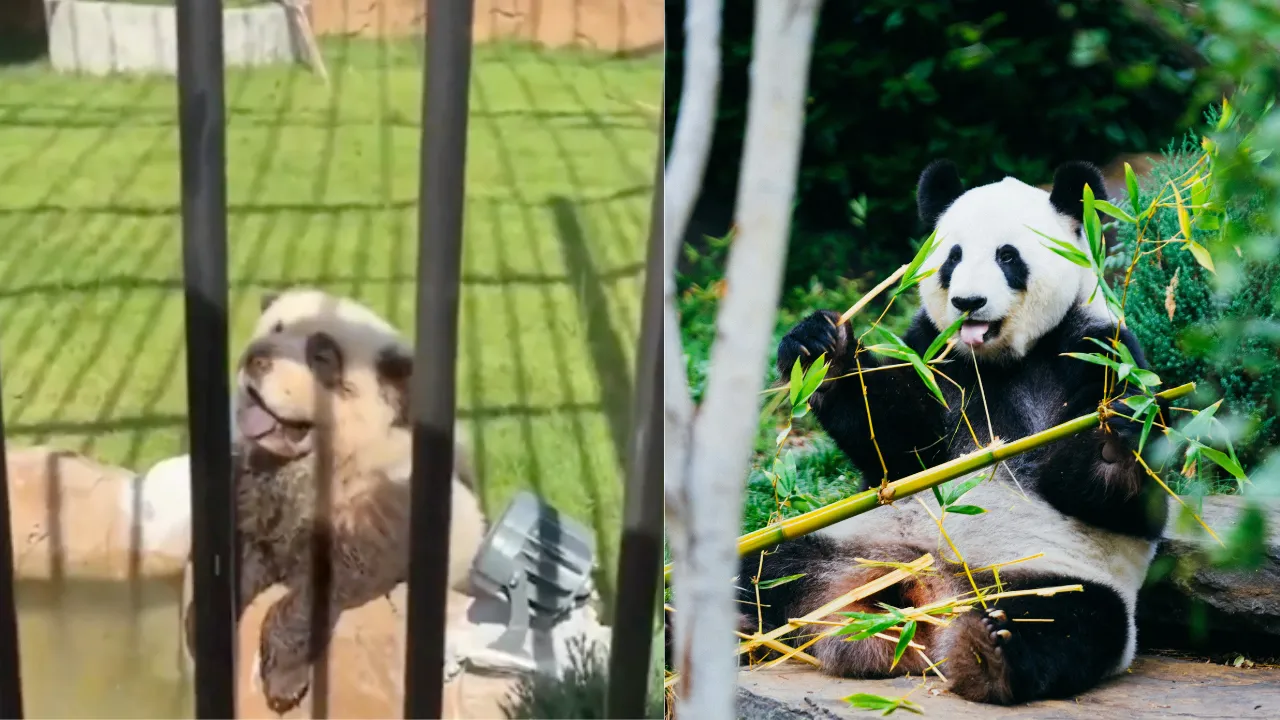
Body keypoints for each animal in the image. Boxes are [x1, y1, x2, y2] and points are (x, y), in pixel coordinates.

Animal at [181, 287, 487, 714]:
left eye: (322, 357)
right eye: (274, 328)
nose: (255, 358)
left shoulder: (380, 511)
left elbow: (318, 591)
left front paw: (284, 680)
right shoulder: (257, 498)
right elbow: (236, 553)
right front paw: (204, 629)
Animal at [744, 160, 1170, 705]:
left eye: (1008, 256)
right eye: (953, 256)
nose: (969, 302)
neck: (998, 361)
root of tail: (923, 598)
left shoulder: (1098, 349)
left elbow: (1126, 502)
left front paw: (1114, 437)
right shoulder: (932, 352)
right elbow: (896, 445)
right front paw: (821, 347)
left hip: (1053, 577)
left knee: (1073, 621)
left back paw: (990, 652)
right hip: (841, 541)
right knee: (768, 569)